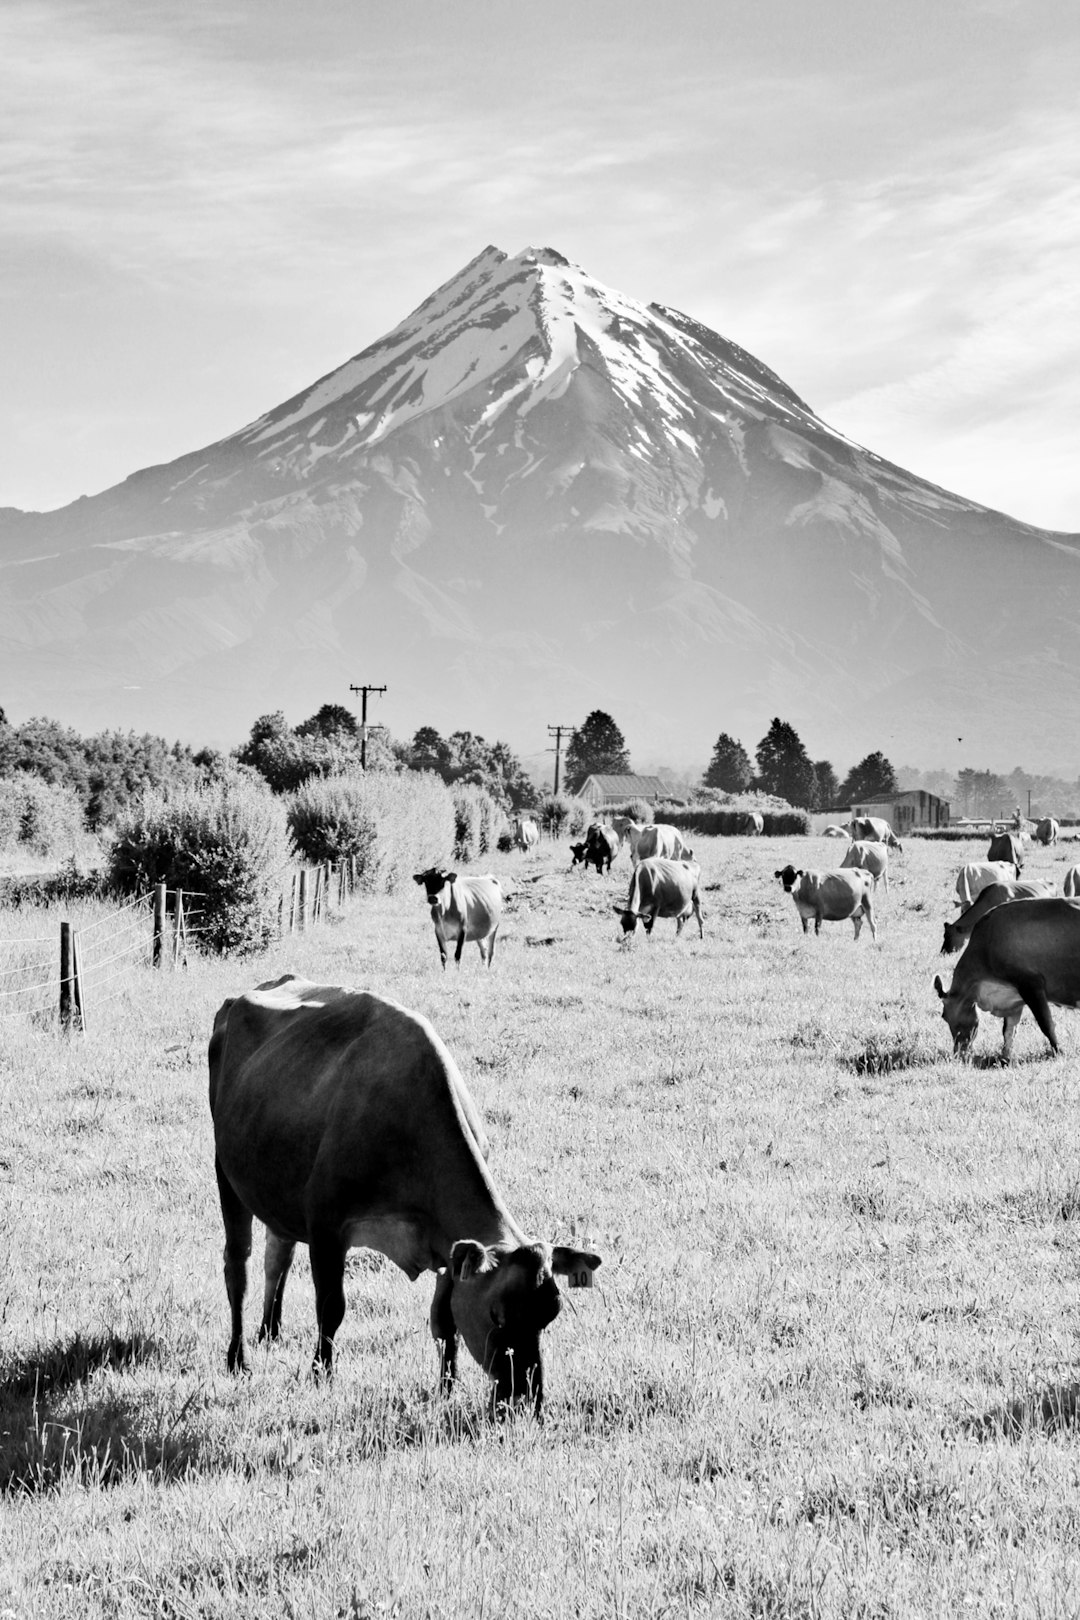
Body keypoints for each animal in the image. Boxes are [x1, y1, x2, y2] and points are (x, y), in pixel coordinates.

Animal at [208, 965, 599, 1412]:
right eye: (497, 1315)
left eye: (550, 1315)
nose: (524, 1399)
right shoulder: (326, 1226)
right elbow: (331, 1307)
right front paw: (321, 1375)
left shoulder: (448, 1244)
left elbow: (445, 1319)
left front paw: (447, 1387)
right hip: (226, 1173)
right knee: (238, 1265)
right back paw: (238, 1358)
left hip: (277, 1185)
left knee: (278, 1254)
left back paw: (270, 1332)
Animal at [932, 894, 1080, 1056]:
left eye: (944, 1016)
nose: (958, 1051)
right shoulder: (1014, 1000)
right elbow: (1008, 1030)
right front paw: (1004, 1056)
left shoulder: (1031, 985)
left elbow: (1046, 1024)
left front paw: (1059, 1051)